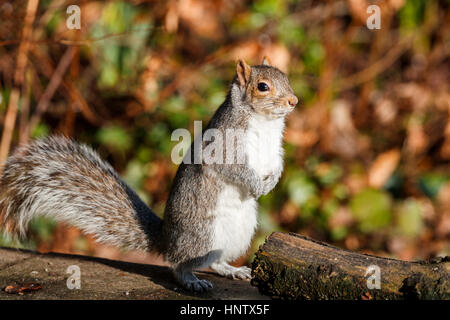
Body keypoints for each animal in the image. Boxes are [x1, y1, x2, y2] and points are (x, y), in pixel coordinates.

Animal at [0, 57, 298, 292]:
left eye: (286, 77)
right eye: (263, 86)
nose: (294, 101)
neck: (265, 122)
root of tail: (167, 240)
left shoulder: (276, 150)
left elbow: (278, 164)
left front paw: (272, 181)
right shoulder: (223, 147)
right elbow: (234, 168)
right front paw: (256, 184)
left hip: (238, 233)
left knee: (214, 260)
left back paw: (232, 270)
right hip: (202, 234)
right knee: (179, 265)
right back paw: (191, 280)